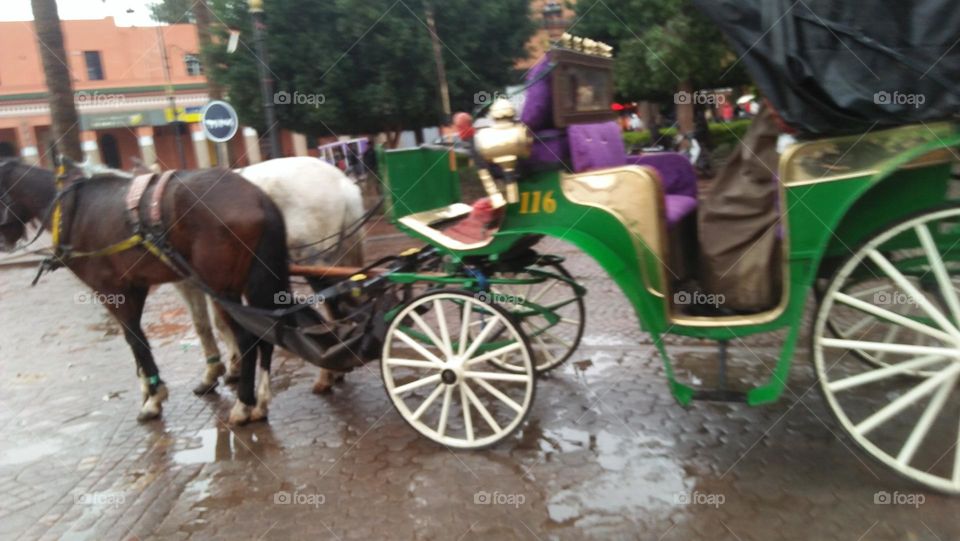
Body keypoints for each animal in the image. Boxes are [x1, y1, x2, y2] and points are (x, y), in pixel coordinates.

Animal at [0, 158, 304, 424]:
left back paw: (243, 404)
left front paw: (153, 397)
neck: (70, 210)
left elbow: (136, 340)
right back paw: (260, 402)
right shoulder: (135, 286)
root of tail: (258, 196)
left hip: (223, 287)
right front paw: (149, 390)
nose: (4, 243)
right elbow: (137, 339)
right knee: (267, 332)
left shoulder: (111, 290)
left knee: (248, 338)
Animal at [177, 156, 368, 396]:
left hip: (313, 259)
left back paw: (327, 375)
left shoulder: (191, 280)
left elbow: (207, 324)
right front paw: (232, 367)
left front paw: (216, 373)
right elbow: (221, 322)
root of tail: (342, 183)